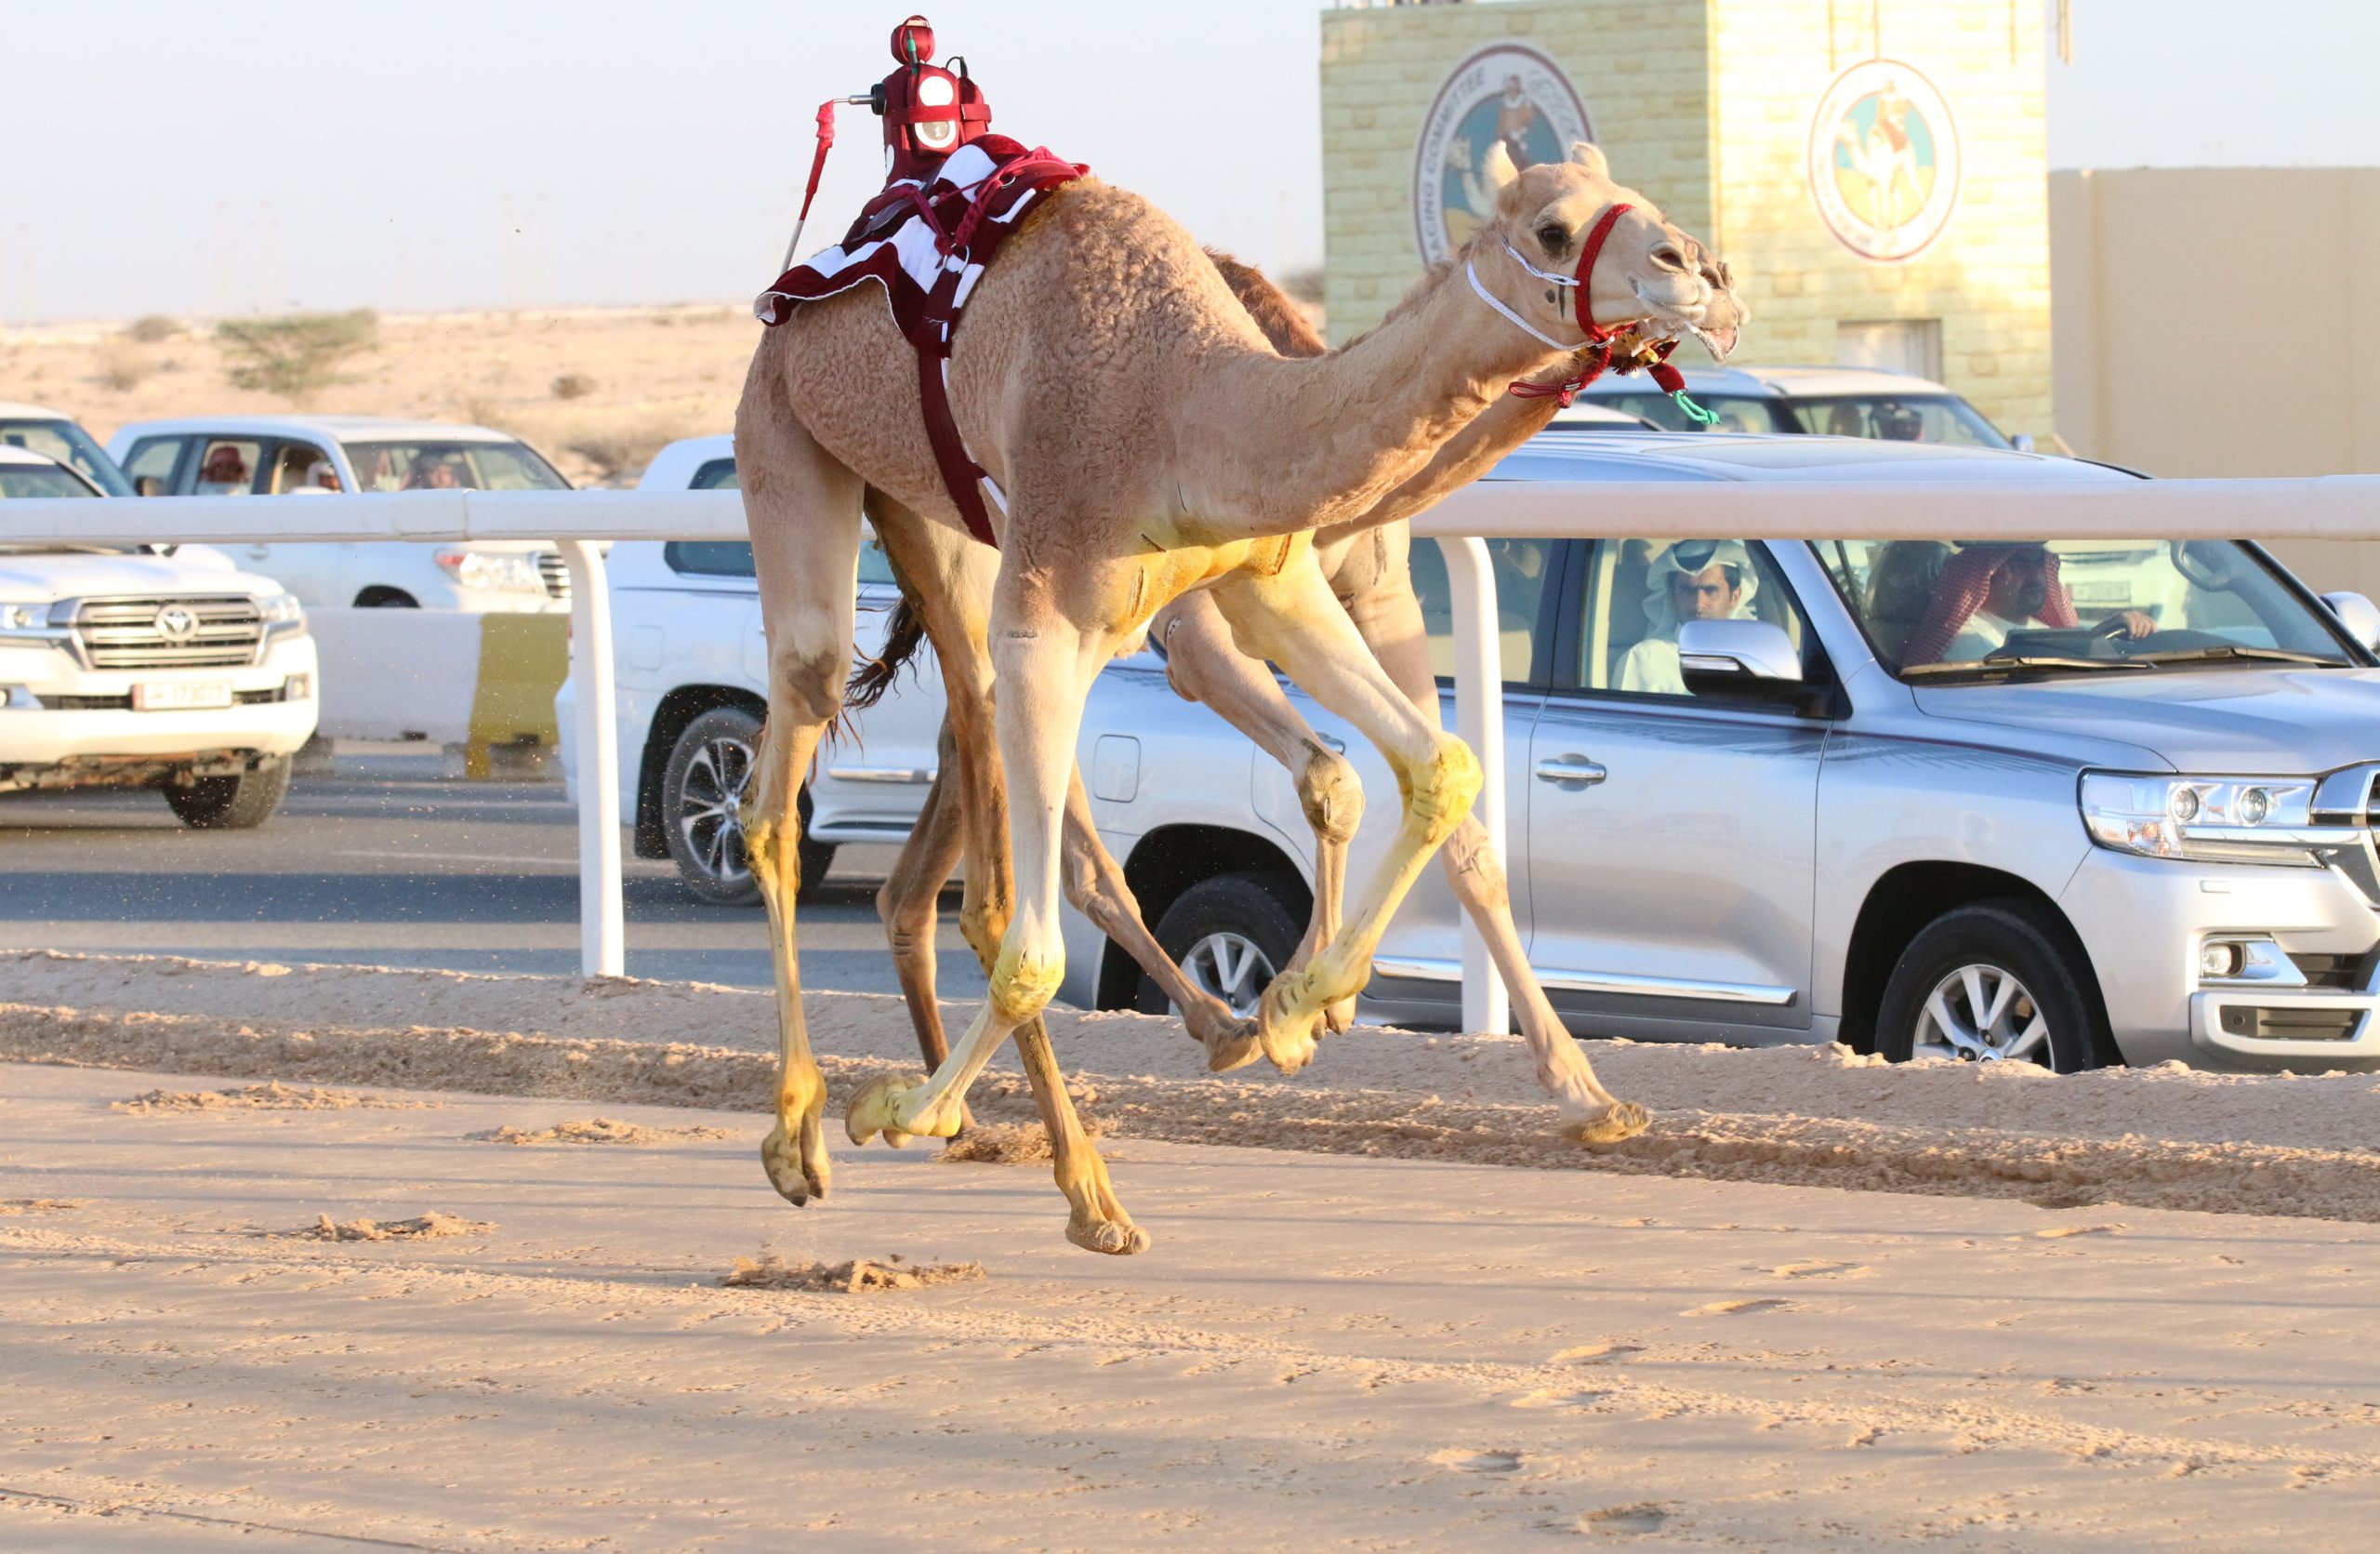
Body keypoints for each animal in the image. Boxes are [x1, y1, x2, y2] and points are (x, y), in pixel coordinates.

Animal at [737, 139, 1713, 1256]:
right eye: (1554, 230)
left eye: (1632, 195)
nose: (1695, 268)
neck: (1192, 407)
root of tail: (789, 298)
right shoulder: (1080, 621)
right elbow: (1036, 950)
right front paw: (890, 1109)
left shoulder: (1273, 580)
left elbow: (1428, 770)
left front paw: (1307, 1009)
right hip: (791, 438)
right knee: (801, 777)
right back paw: (815, 1137)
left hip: (928, 522)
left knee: (956, 839)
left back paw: (1095, 1138)